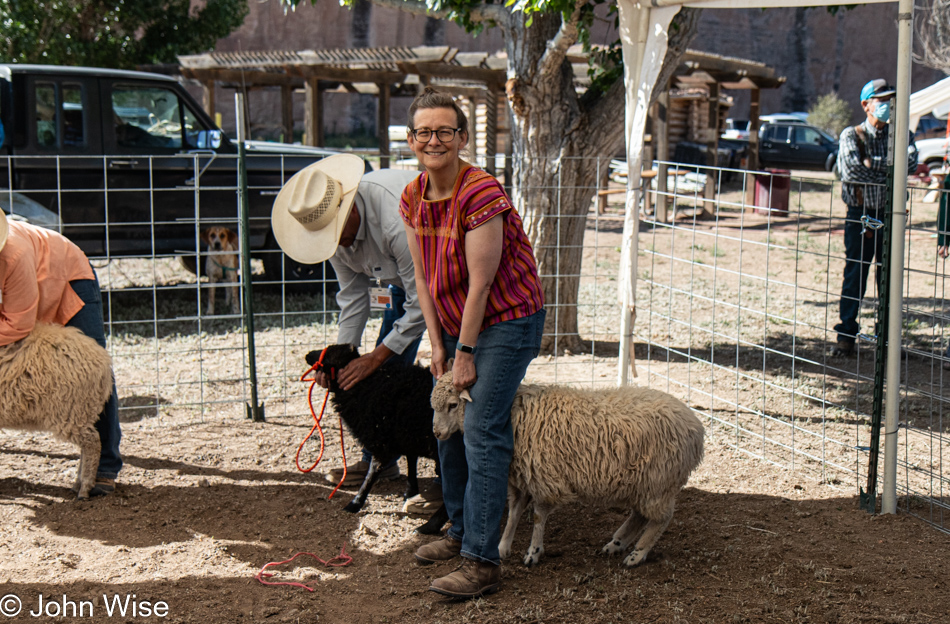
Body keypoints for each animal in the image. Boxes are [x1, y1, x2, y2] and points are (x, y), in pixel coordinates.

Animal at [0, 324, 112, 500]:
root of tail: (104, 362)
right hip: (81, 412)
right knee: (87, 445)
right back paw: (77, 484)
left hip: (70, 411)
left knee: (92, 443)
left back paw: (84, 488)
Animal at [306, 344, 452, 532]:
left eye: (328, 355)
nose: (308, 355)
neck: (366, 386)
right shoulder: (407, 435)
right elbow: (411, 462)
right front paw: (410, 492)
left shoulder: (380, 441)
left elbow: (372, 472)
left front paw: (355, 503)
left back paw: (430, 526)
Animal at [432, 372, 708, 568]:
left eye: (453, 404)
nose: (436, 433)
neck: (512, 417)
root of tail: (697, 427)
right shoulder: (521, 479)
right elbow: (513, 514)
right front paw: (502, 548)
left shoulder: (544, 478)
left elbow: (538, 517)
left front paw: (533, 553)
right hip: (644, 483)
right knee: (640, 515)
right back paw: (617, 543)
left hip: (659, 481)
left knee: (661, 519)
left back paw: (637, 554)